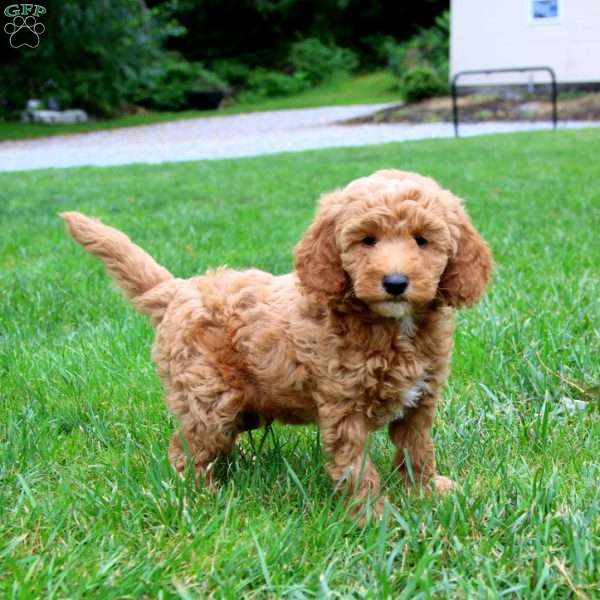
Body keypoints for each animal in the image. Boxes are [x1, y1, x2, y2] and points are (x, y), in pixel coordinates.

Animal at [62, 170, 492, 516]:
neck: (390, 325)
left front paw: (427, 494)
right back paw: (201, 498)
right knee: (186, 449)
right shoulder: (344, 407)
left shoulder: (419, 401)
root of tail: (180, 289)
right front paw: (374, 517)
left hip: (244, 407)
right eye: (367, 240)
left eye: (422, 240)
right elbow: (355, 467)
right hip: (209, 398)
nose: (396, 283)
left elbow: (417, 450)